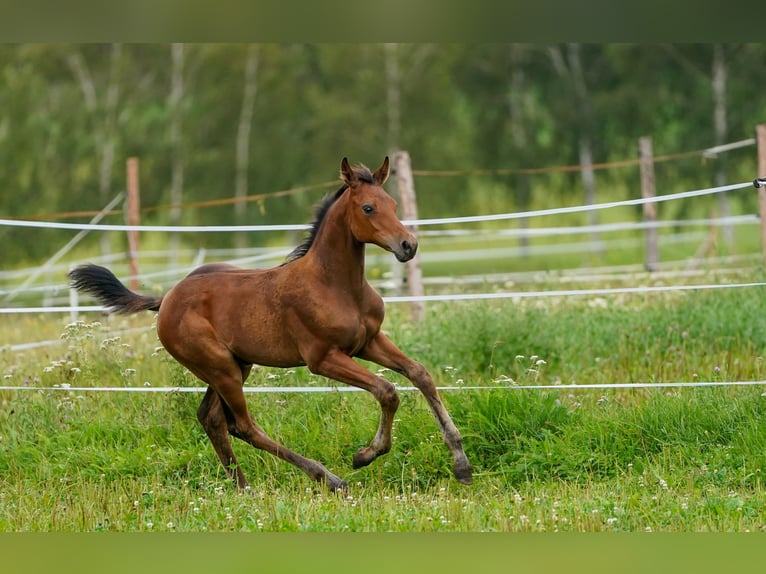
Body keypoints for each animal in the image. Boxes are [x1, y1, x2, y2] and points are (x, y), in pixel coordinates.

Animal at [67, 159, 474, 496]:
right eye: (368, 208)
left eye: (393, 204)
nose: (408, 246)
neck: (336, 284)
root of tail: (166, 298)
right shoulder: (323, 358)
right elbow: (387, 391)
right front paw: (365, 455)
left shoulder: (369, 342)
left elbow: (419, 374)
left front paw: (462, 466)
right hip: (220, 367)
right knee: (243, 425)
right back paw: (328, 478)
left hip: (235, 364)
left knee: (213, 419)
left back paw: (243, 487)